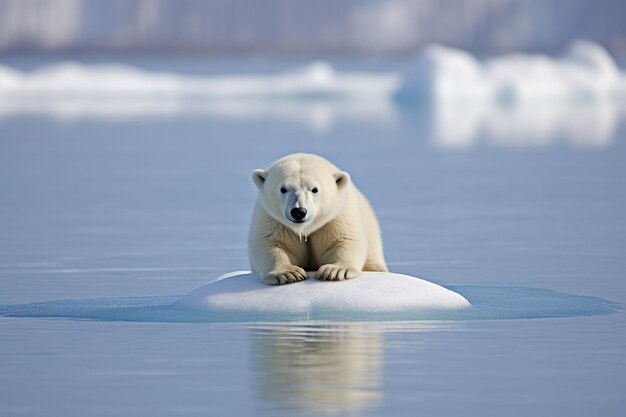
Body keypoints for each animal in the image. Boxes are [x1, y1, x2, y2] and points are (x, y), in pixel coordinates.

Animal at [249, 154, 386, 284]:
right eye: (283, 189)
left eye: (314, 189)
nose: (299, 212)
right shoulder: (272, 219)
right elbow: (270, 243)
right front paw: (288, 273)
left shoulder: (337, 216)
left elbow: (346, 239)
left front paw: (334, 270)